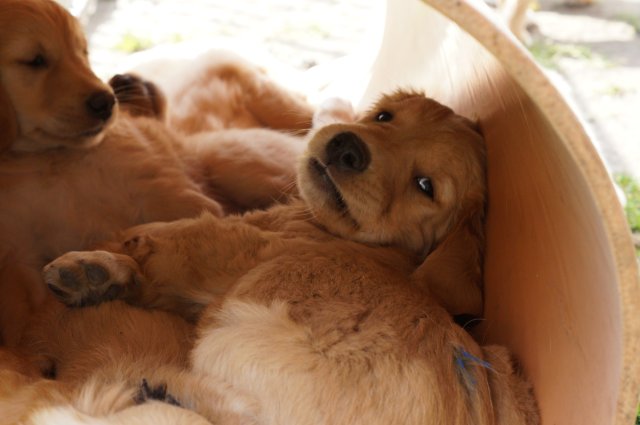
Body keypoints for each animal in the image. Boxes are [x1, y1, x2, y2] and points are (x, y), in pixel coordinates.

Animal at [0, 0, 314, 346]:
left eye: (83, 53)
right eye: (35, 61)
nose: (114, 89)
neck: (47, 163)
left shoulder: (177, 197)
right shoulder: (18, 254)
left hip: (232, 160)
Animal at [38, 91, 539, 424]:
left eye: (425, 186)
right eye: (384, 116)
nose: (347, 147)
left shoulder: (216, 248)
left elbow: (149, 247)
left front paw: (93, 265)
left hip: (237, 333)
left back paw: (162, 386)